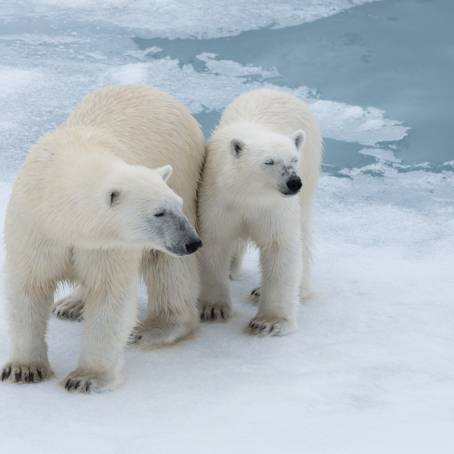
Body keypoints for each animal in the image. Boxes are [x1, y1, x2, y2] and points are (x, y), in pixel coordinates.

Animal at [1, 86, 204, 394]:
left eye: (176, 206)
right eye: (158, 212)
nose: (192, 242)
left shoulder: (110, 243)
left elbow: (109, 294)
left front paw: (86, 377)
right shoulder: (35, 228)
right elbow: (29, 287)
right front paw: (24, 369)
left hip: (183, 168)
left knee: (168, 268)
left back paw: (156, 328)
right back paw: (71, 305)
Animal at [197, 88, 320, 336]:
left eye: (294, 159)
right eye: (269, 162)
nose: (294, 182)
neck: (249, 193)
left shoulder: (273, 208)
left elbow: (279, 247)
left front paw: (270, 322)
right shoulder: (218, 199)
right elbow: (215, 241)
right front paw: (213, 309)